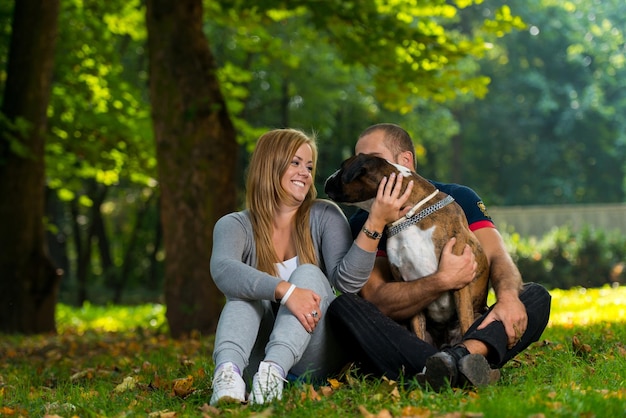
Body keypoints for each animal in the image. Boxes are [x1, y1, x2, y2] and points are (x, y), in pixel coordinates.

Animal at [324, 155, 490, 348]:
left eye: (342, 167)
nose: (327, 179)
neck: (410, 218)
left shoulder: (461, 284)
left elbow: (465, 325)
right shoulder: (409, 285)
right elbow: (417, 332)